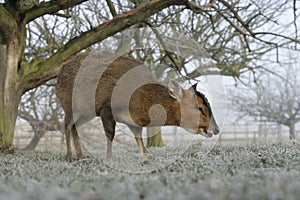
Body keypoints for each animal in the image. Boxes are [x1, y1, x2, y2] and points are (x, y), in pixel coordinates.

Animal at [55, 51, 218, 161]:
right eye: (200, 108)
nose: (216, 129)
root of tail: (60, 74)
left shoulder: (134, 122)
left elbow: (139, 140)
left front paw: (146, 160)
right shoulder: (106, 108)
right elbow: (110, 135)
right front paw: (109, 160)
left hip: (86, 113)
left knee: (73, 126)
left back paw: (80, 157)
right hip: (70, 106)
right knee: (66, 125)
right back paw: (70, 157)